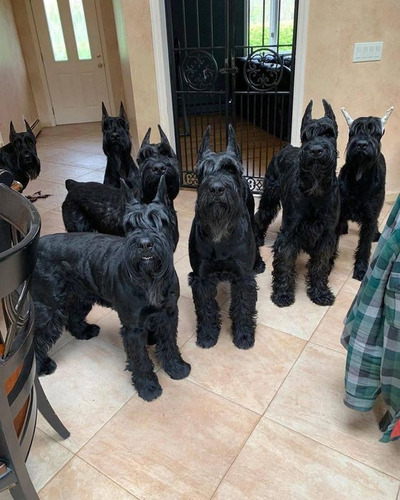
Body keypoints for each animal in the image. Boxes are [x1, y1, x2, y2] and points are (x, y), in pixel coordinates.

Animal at [30, 176, 190, 402]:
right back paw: (42, 366)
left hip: (81, 296)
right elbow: (140, 358)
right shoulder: (133, 327)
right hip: (49, 308)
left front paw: (176, 367)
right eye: (129, 226)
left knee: (73, 316)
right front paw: (148, 387)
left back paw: (84, 331)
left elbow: (169, 343)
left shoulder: (168, 314)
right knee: (37, 338)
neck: (150, 278)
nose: (144, 244)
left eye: (161, 221)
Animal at [188, 125, 258, 350]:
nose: (217, 189)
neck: (220, 233)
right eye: (202, 171)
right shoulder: (201, 277)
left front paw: (243, 335)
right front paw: (207, 334)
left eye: (231, 169)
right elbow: (206, 308)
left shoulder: (243, 276)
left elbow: (243, 306)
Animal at [255, 99, 340, 306]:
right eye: (305, 136)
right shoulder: (290, 232)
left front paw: (320, 292)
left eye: (329, 133)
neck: (315, 189)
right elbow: (285, 262)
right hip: (269, 197)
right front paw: (283, 293)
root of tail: (287, 147)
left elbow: (320, 264)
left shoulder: (326, 234)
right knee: (261, 216)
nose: (316, 151)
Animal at [338, 105, 394, 280]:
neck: (360, 175)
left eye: (375, 133)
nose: (362, 144)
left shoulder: (369, 218)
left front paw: (361, 269)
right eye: (353, 132)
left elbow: (364, 246)